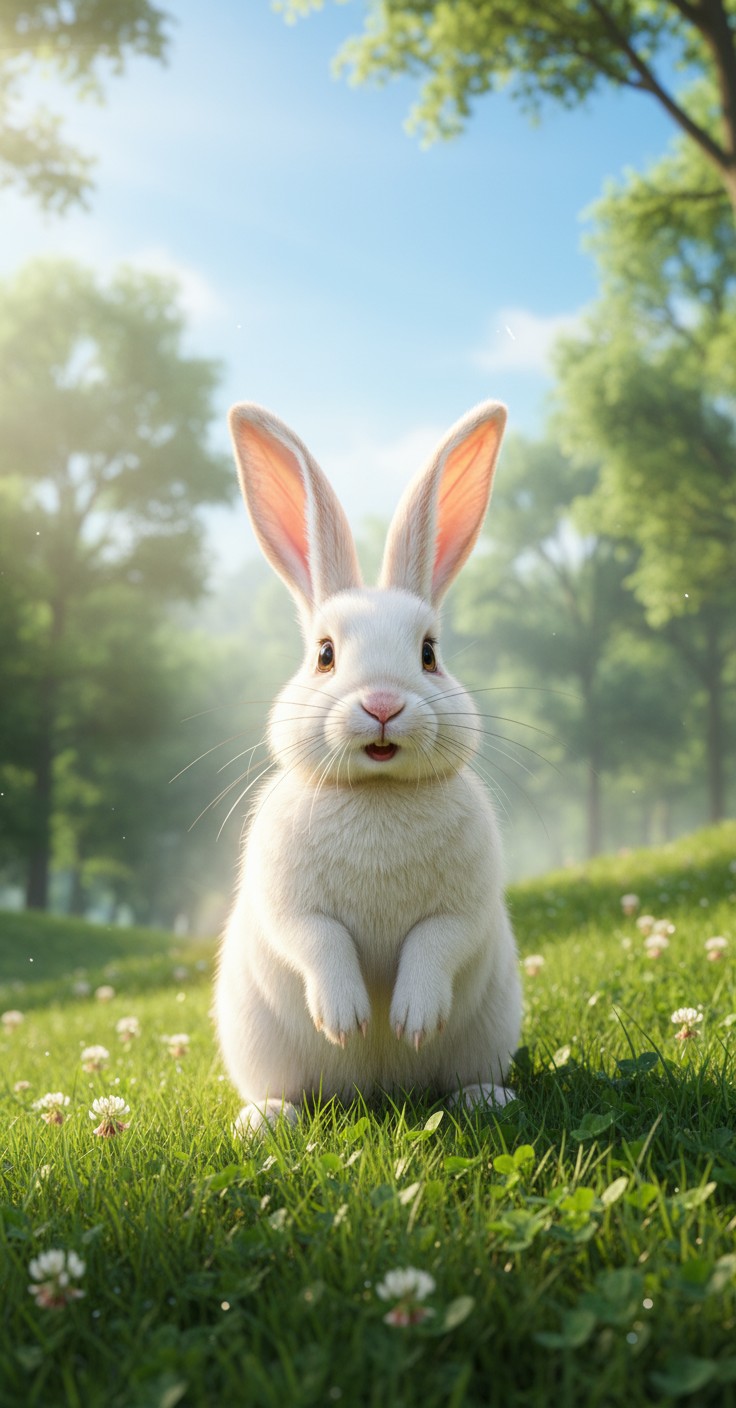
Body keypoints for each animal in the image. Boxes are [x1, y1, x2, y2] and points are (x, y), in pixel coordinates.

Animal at [214, 399, 522, 1135]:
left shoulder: (465, 907)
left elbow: (436, 943)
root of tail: (380, 1095)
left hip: (489, 1029)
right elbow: (316, 940)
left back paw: (485, 1099)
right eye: (325, 654)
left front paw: (410, 1018)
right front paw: (348, 1017)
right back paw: (266, 1119)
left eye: (430, 653)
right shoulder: (288, 903)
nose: (382, 705)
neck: (376, 793)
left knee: (465, 1077)